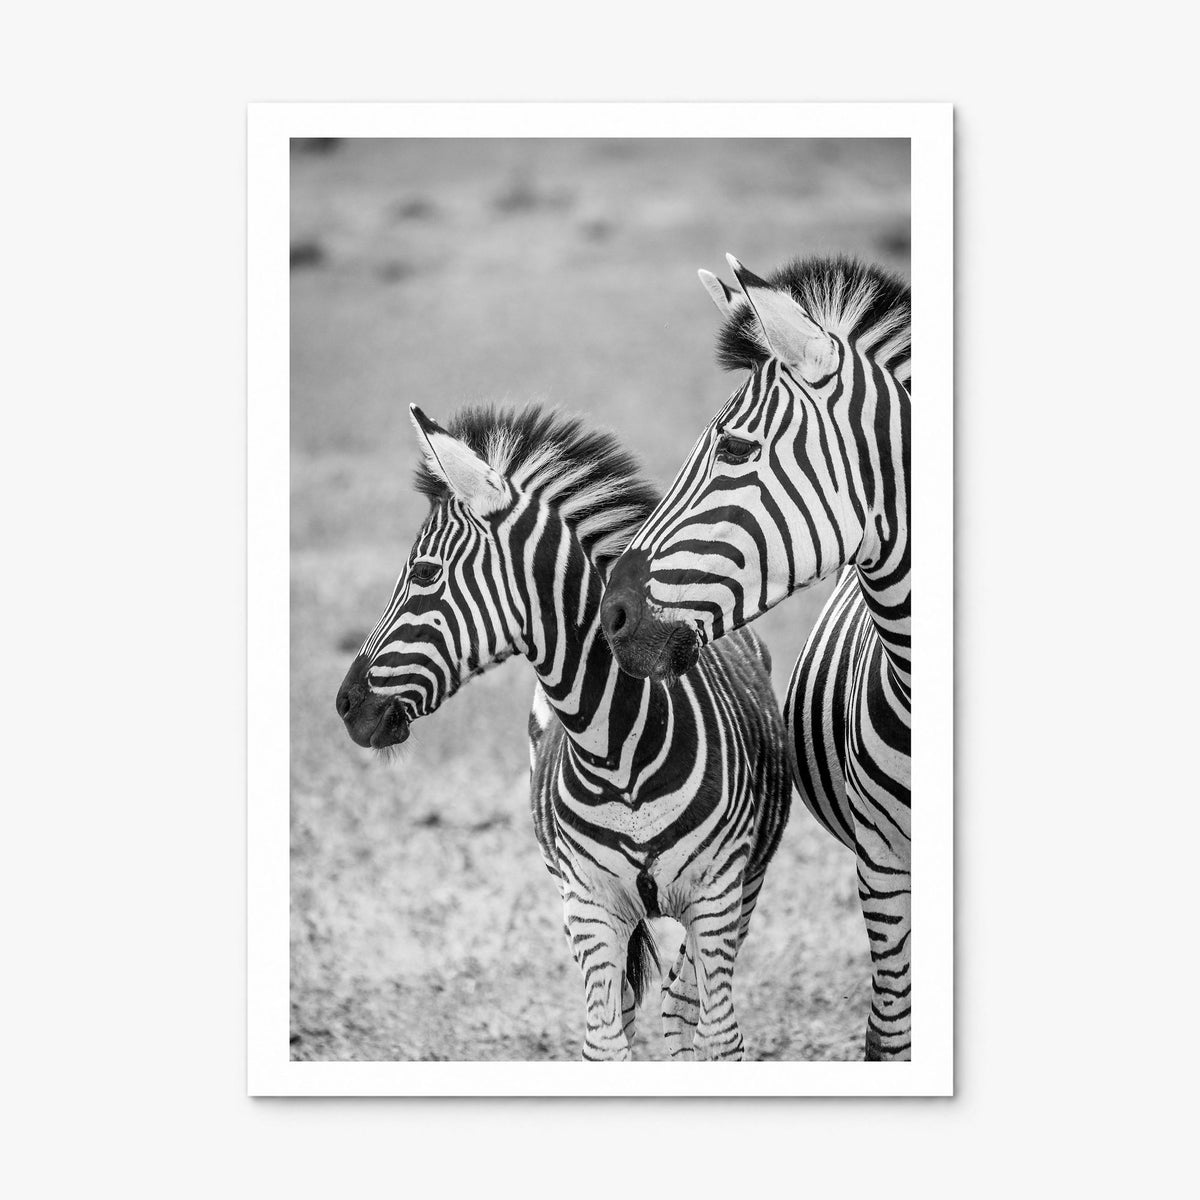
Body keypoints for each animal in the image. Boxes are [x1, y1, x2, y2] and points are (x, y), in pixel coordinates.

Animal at [334, 403, 792, 1061]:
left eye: (423, 573)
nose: (345, 705)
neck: (619, 750)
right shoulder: (590, 907)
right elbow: (604, 1043)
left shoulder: (717, 898)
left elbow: (721, 1037)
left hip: (742, 890)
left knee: (683, 1006)